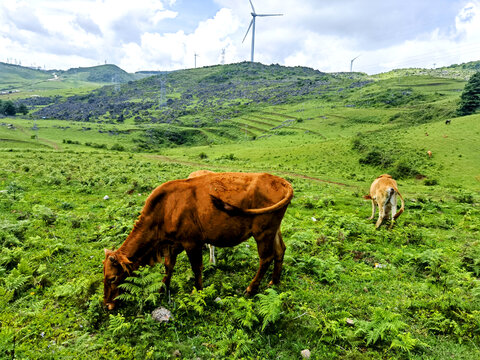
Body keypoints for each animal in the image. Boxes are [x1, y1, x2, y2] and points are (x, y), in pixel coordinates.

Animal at [103, 172, 294, 310]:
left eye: (112, 278)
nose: (107, 305)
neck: (165, 208)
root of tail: (280, 181)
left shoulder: (192, 242)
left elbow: (196, 268)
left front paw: (198, 292)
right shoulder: (172, 244)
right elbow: (168, 266)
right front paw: (162, 289)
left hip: (263, 232)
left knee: (266, 258)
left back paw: (251, 289)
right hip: (274, 229)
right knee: (280, 250)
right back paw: (274, 281)